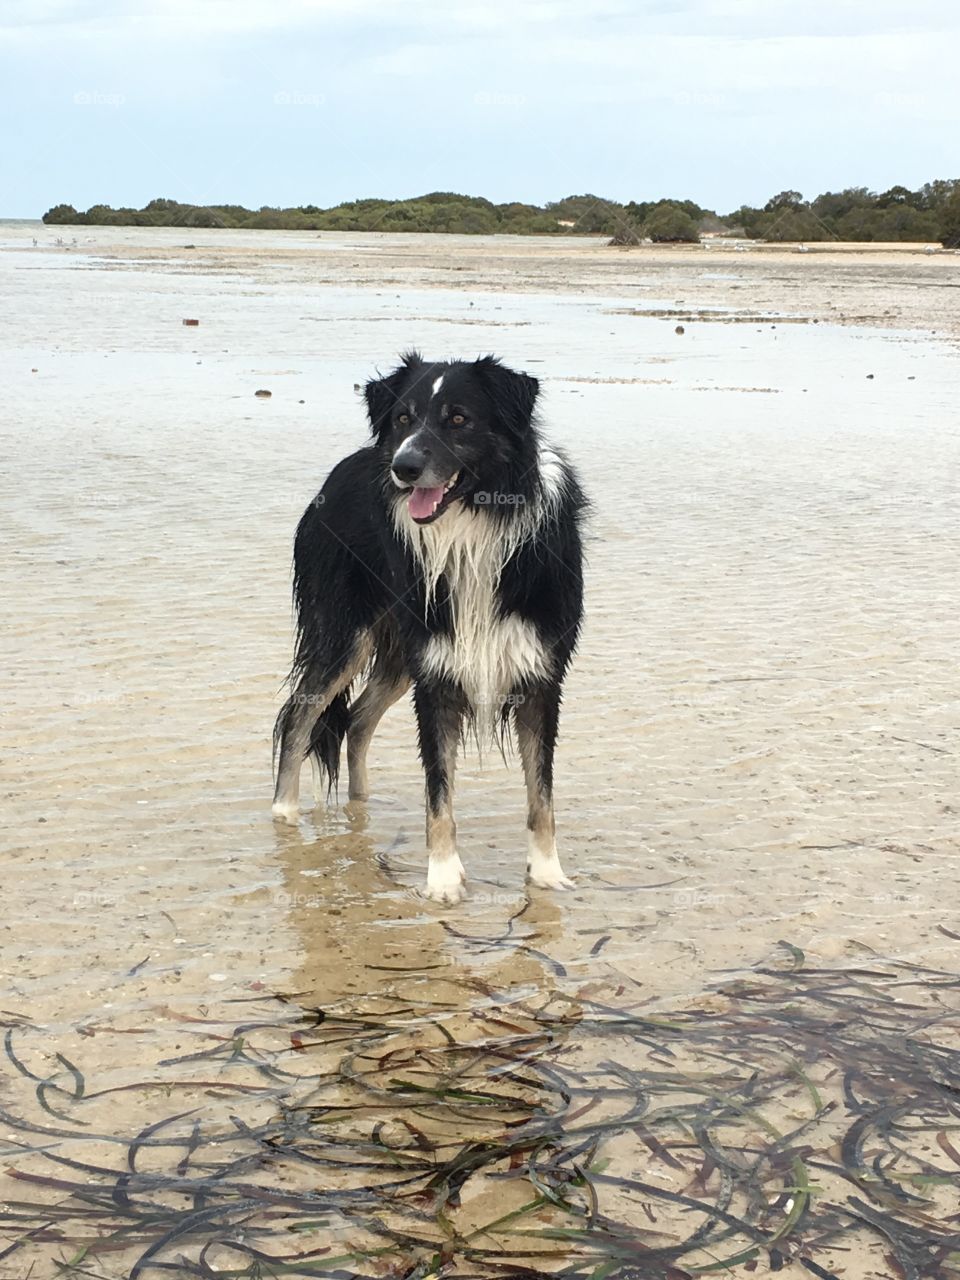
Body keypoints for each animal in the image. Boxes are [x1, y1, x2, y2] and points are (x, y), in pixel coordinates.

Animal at [271, 353, 586, 901]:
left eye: (458, 418)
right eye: (403, 418)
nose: (404, 468)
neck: (475, 526)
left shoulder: (540, 675)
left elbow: (540, 793)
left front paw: (548, 875)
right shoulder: (438, 677)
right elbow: (439, 790)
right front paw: (442, 881)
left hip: (399, 654)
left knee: (357, 719)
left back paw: (360, 807)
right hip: (345, 633)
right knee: (299, 714)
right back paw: (285, 819)